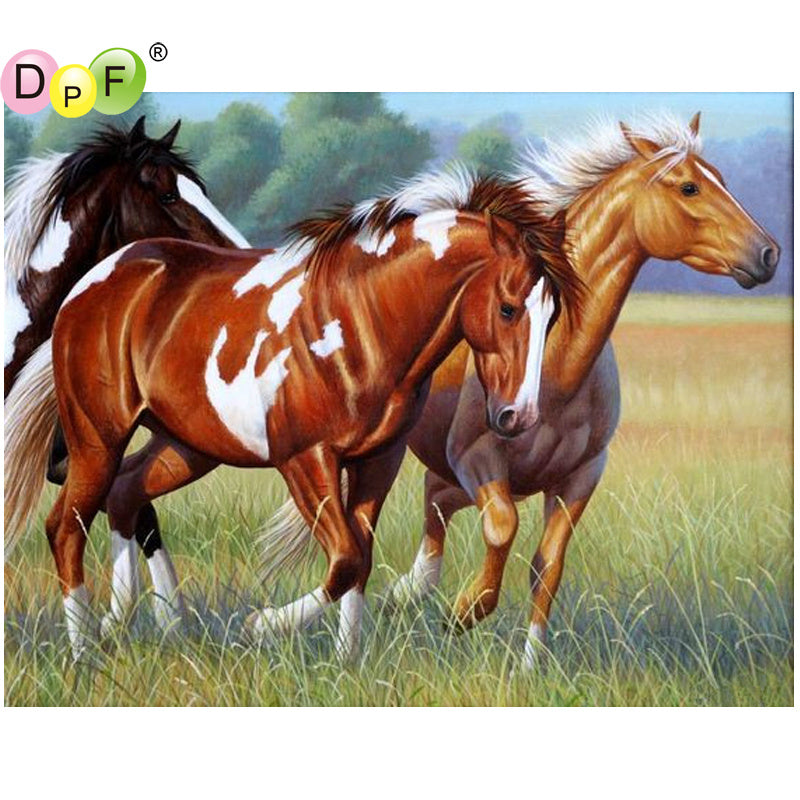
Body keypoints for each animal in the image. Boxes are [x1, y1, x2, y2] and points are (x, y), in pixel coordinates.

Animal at [4, 171, 582, 662]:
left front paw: (349, 664)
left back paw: (140, 627)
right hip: (97, 438)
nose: (517, 416)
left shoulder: (377, 461)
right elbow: (345, 559)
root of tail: (91, 285)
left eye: (552, 314)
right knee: (66, 526)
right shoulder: (305, 459)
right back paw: (86, 651)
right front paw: (262, 625)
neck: (362, 321)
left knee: (125, 497)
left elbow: (360, 559)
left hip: (186, 446)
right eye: (508, 308)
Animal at [375, 112, 780, 670]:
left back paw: (397, 600)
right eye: (689, 186)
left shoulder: (581, 477)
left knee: (432, 523)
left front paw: (528, 667)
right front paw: (463, 613)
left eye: (722, 177)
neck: (558, 368)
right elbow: (502, 528)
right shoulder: (477, 459)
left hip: (452, 477)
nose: (769, 254)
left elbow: (547, 567)